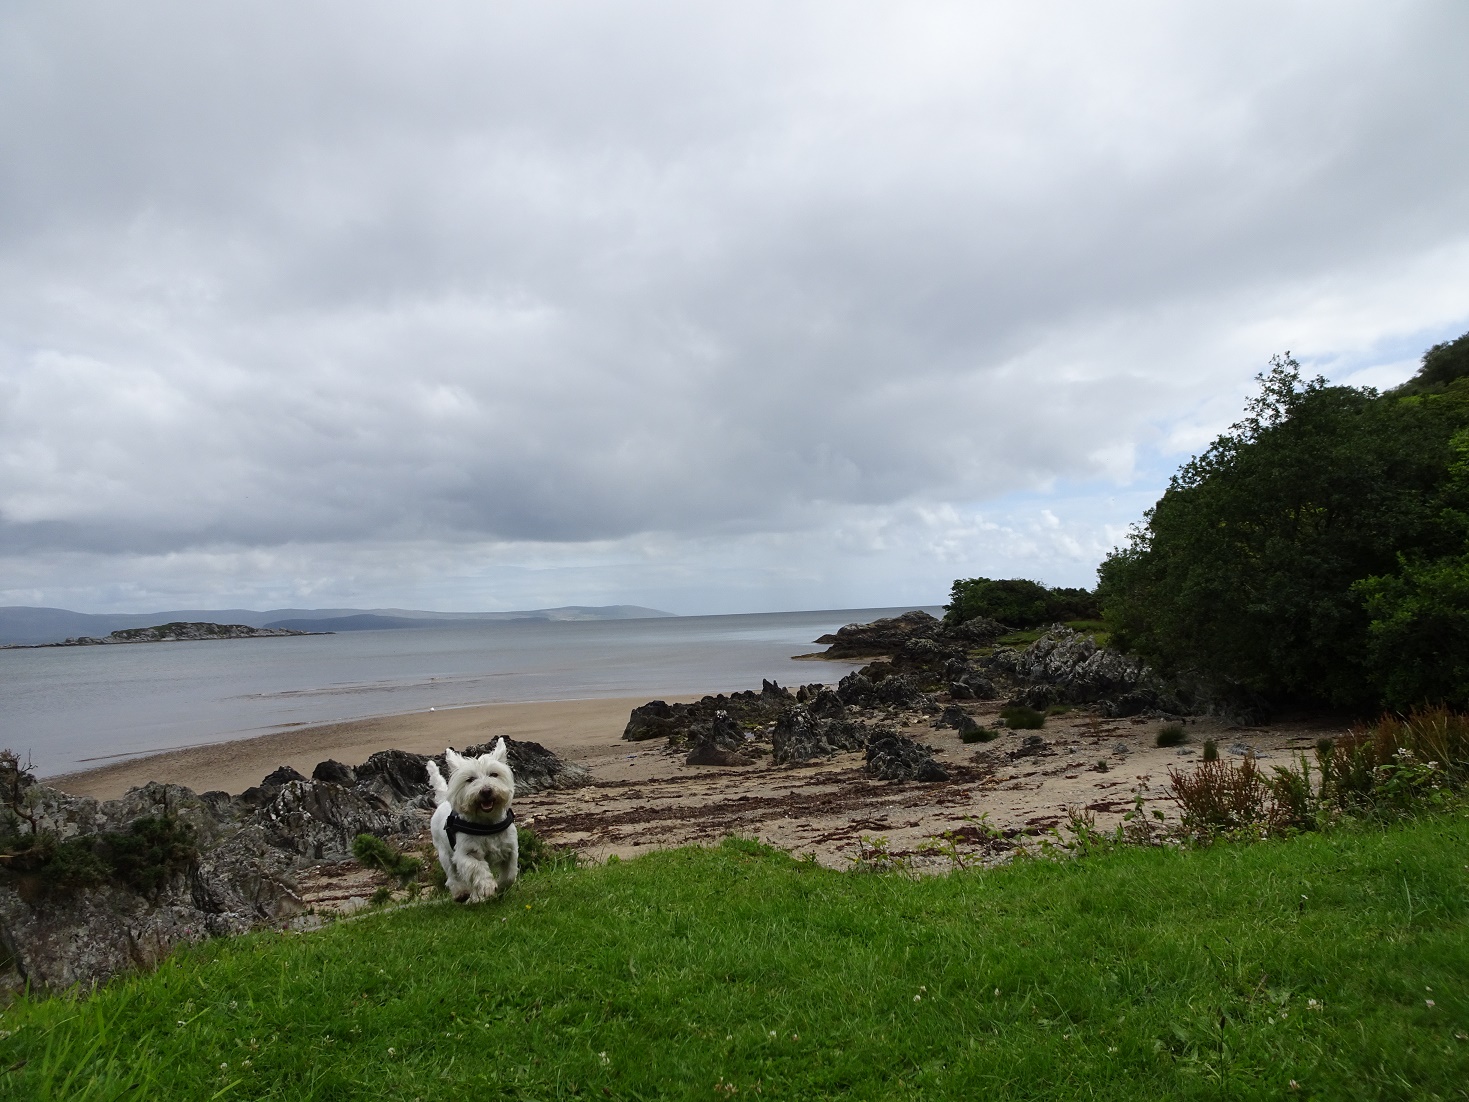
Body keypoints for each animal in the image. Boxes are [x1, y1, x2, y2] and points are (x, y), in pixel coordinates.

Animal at [426, 743, 517, 905]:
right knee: (453, 875)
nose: (486, 791)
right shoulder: (465, 853)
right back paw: (462, 893)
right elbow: (477, 868)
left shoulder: (510, 848)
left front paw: (500, 886)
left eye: (494, 774)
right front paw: (487, 886)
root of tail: (443, 801)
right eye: (470, 779)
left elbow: (510, 875)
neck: (487, 823)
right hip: (444, 852)